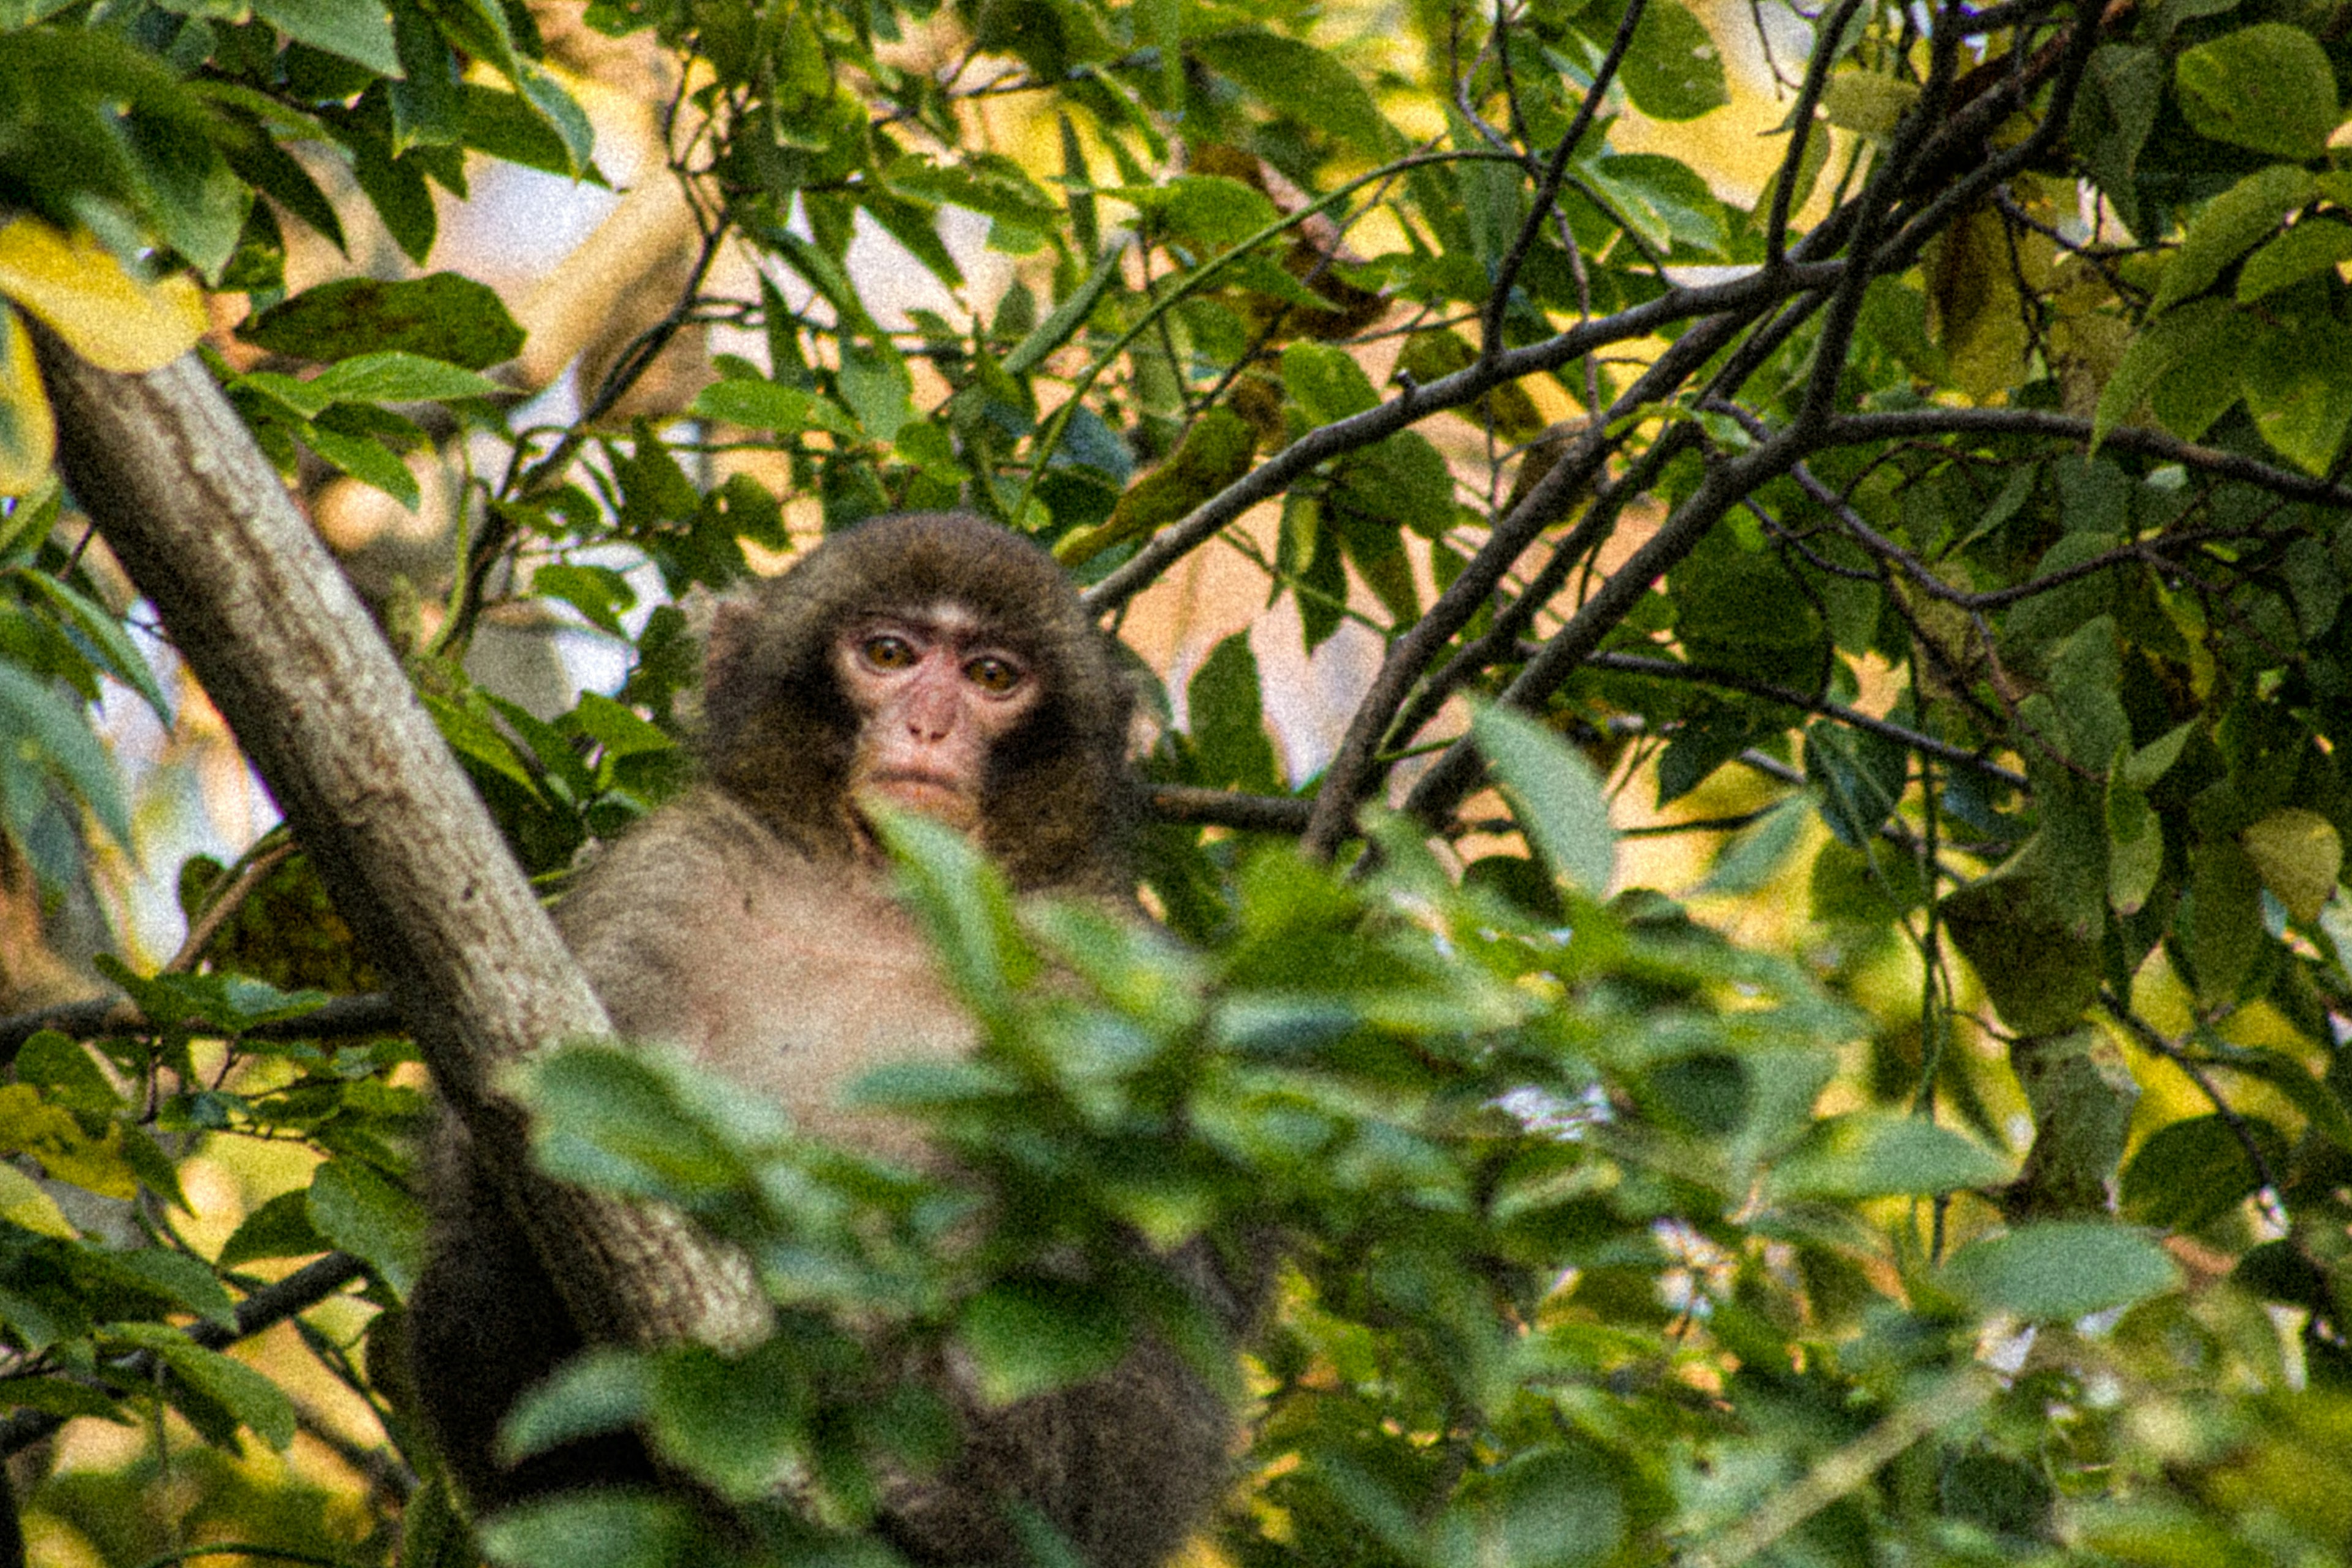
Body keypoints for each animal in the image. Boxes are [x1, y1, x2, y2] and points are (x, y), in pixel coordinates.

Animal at [409, 517, 1251, 1568]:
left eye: (993, 676)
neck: (881, 898)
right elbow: (494, 1137)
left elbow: (1182, 1268)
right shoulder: (671, 874)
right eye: (887, 655)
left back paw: (958, 1509)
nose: (928, 726)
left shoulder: (1118, 965)